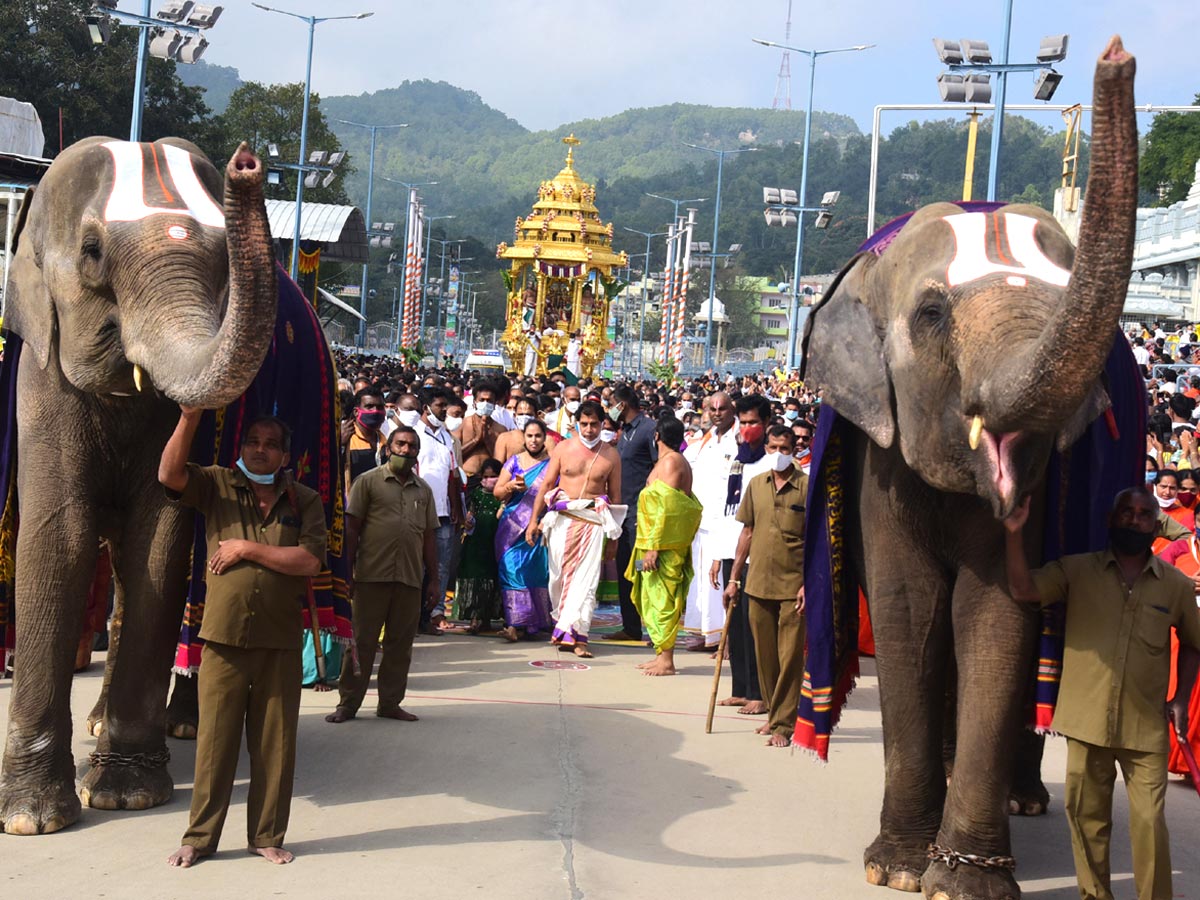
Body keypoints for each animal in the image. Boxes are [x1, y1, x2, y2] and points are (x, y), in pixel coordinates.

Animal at [0, 137, 274, 835]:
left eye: (223, 259)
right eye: (93, 252)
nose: (247, 163)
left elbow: (160, 539)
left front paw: (128, 796)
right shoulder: (43, 377)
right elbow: (61, 538)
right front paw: (31, 818)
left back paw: (173, 727)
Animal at [801, 38, 1137, 900]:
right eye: (931, 314)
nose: (1116, 55)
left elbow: (994, 613)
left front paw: (964, 882)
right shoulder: (880, 456)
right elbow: (911, 608)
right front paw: (895, 869)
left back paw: (1021, 802)